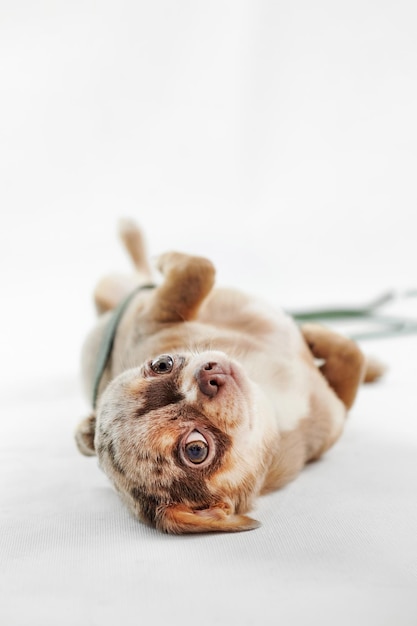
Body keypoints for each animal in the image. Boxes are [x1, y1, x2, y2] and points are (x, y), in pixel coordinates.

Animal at [75, 219, 384, 532]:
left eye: (162, 364)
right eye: (196, 450)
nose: (207, 376)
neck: (271, 405)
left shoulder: (150, 320)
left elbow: (197, 271)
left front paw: (316, 336)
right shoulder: (335, 414)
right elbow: (350, 365)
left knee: (143, 277)